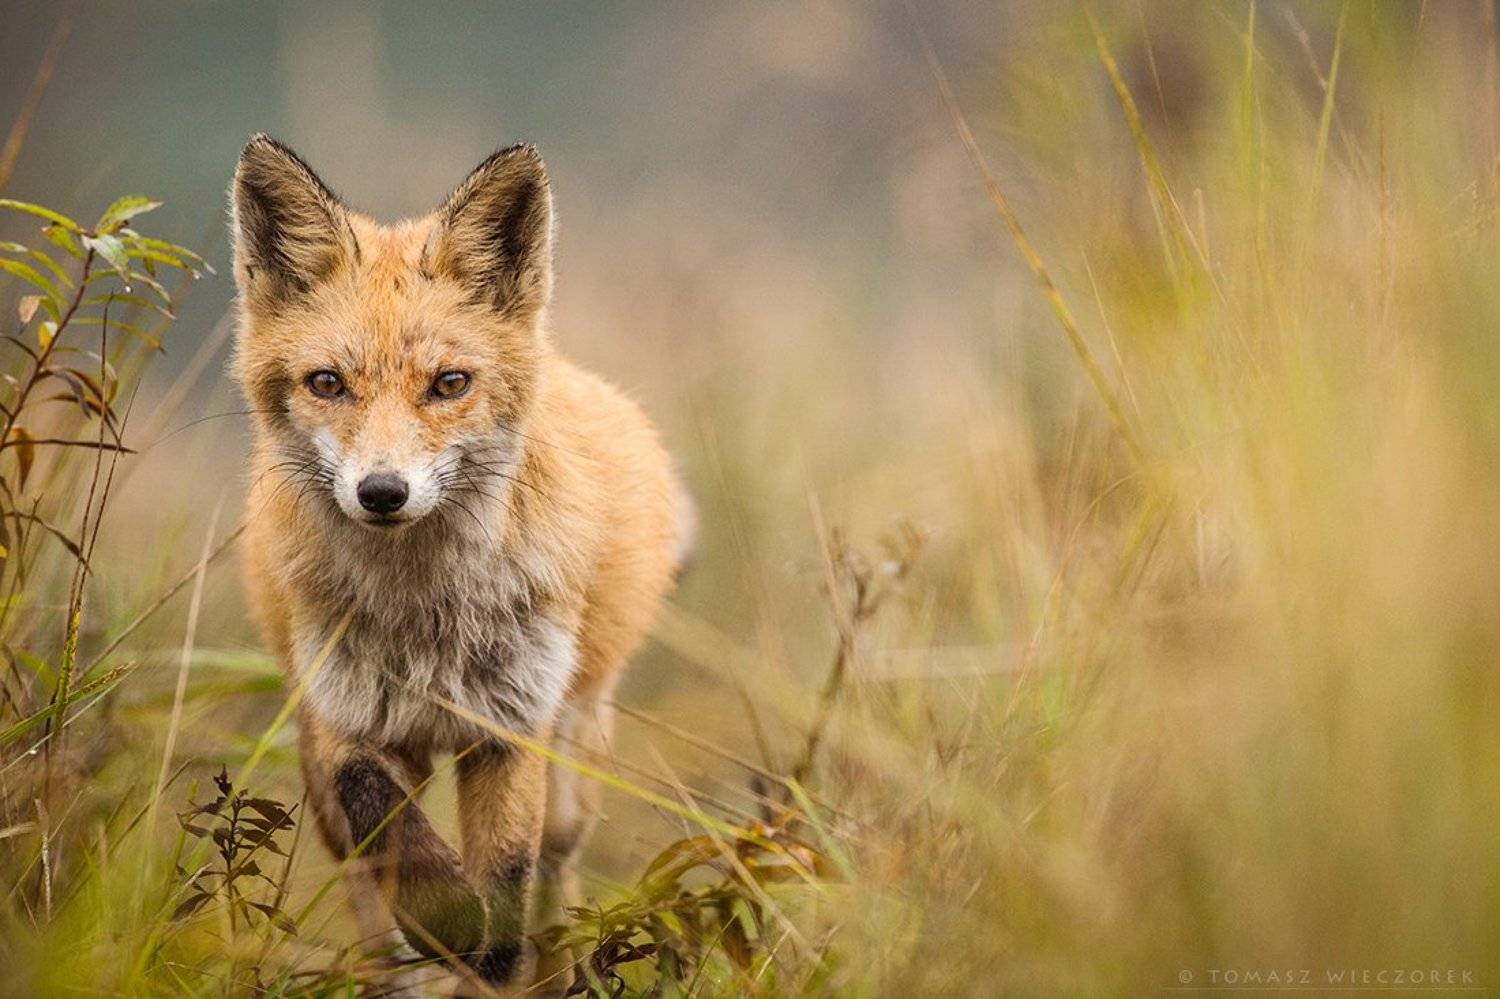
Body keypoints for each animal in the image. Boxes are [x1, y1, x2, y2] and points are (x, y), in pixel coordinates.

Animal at [229, 134, 692, 990]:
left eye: (449, 383)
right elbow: (382, 818)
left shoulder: (509, 729)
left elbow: (505, 906)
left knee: (553, 878)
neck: (424, 613)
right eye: (327, 382)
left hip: (572, 764)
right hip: (330, 775)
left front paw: (486, 952)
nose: (382, 491)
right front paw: (444, 914)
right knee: (368, 892)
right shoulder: (348, 719)